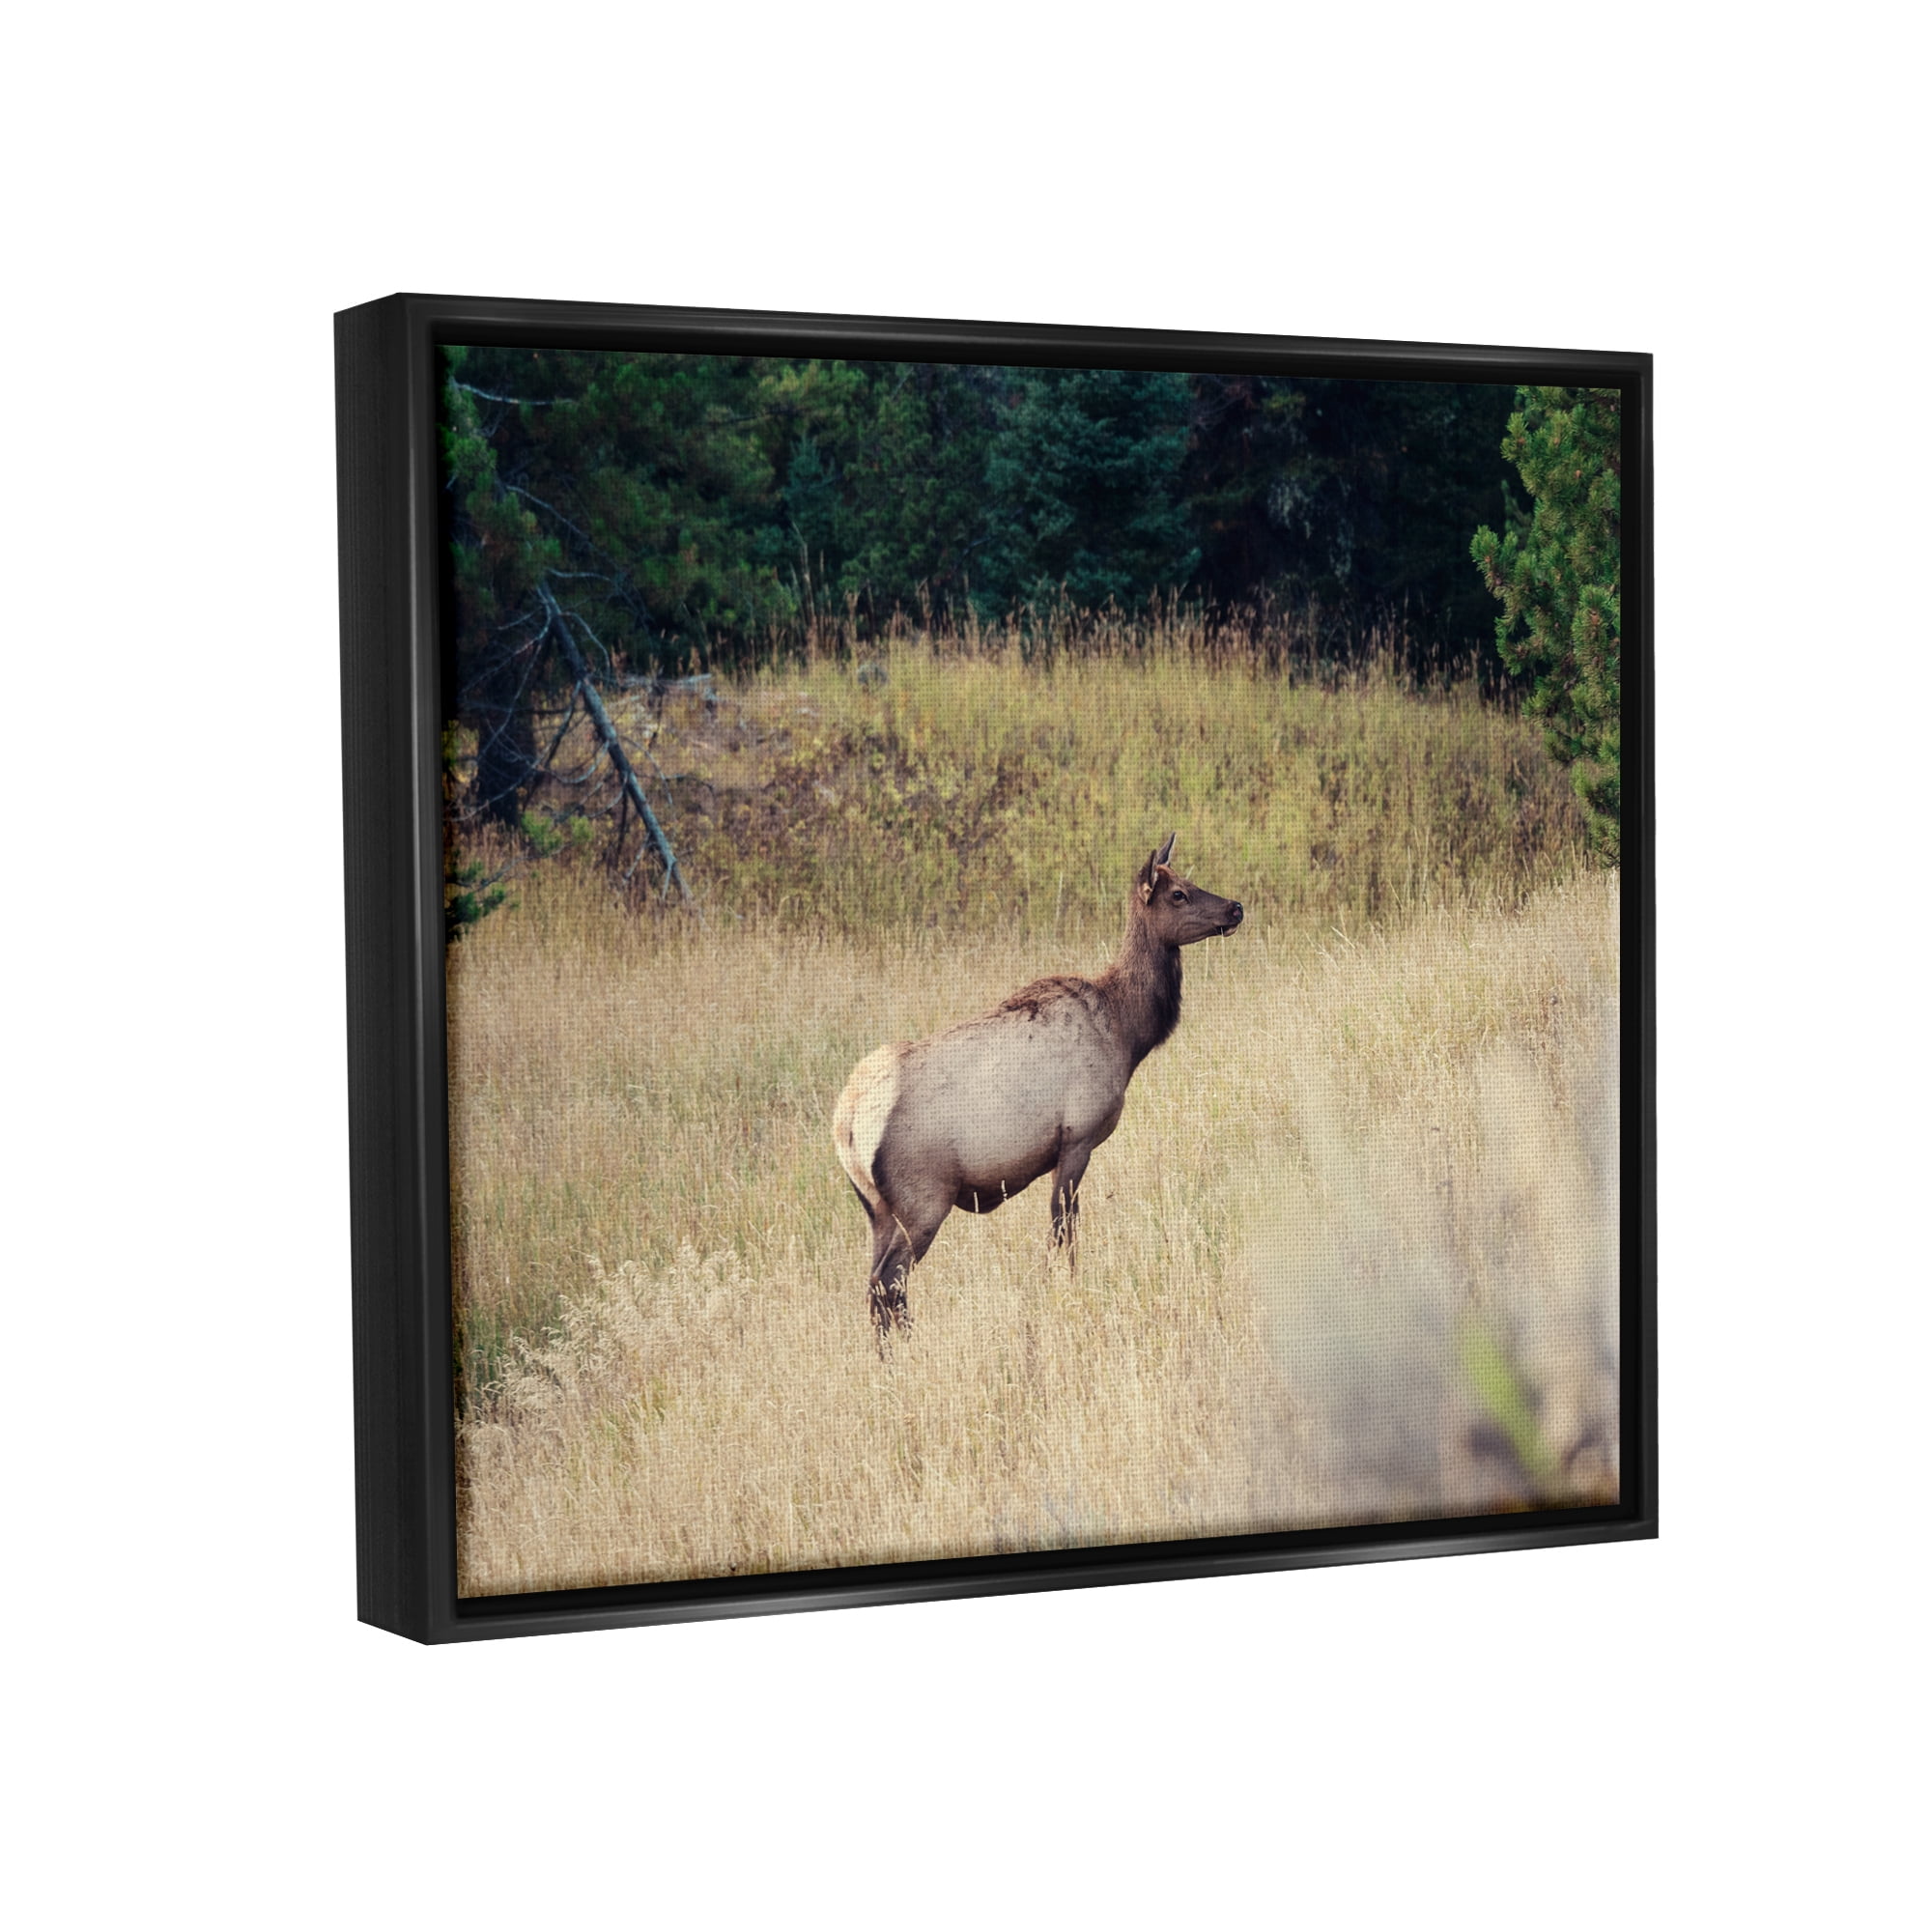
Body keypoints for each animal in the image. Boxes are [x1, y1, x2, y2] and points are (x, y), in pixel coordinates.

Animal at [832, 833, 1244, 1339]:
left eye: (1187, 880)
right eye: (1178, 894)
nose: (1235, 908)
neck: (1127, 1033)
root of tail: (847, 1125)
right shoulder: (1078, 1137)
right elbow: (1063, 1231)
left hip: (877, 1209)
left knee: (875, 1285)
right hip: (923, 1199)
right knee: (888, 1282)